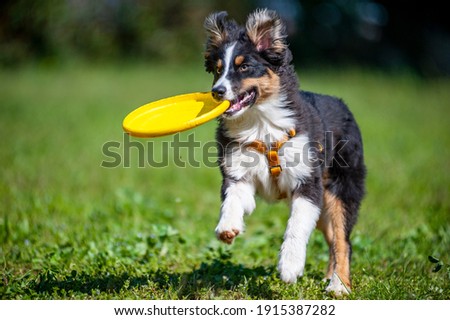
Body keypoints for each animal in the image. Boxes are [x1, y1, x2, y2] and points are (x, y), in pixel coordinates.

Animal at [204, 9, 366, 296]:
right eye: (218, 70)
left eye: (244, 67)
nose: (217, 92)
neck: (261, 124)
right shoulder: (239, 173)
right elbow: (232, 199)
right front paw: (227, 227)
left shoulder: (308, 182)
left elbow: (297, 226)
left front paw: (290, 266)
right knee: (333, 238)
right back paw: (329, 277)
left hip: (341, 189)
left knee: (343, 240)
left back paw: (339, 285)